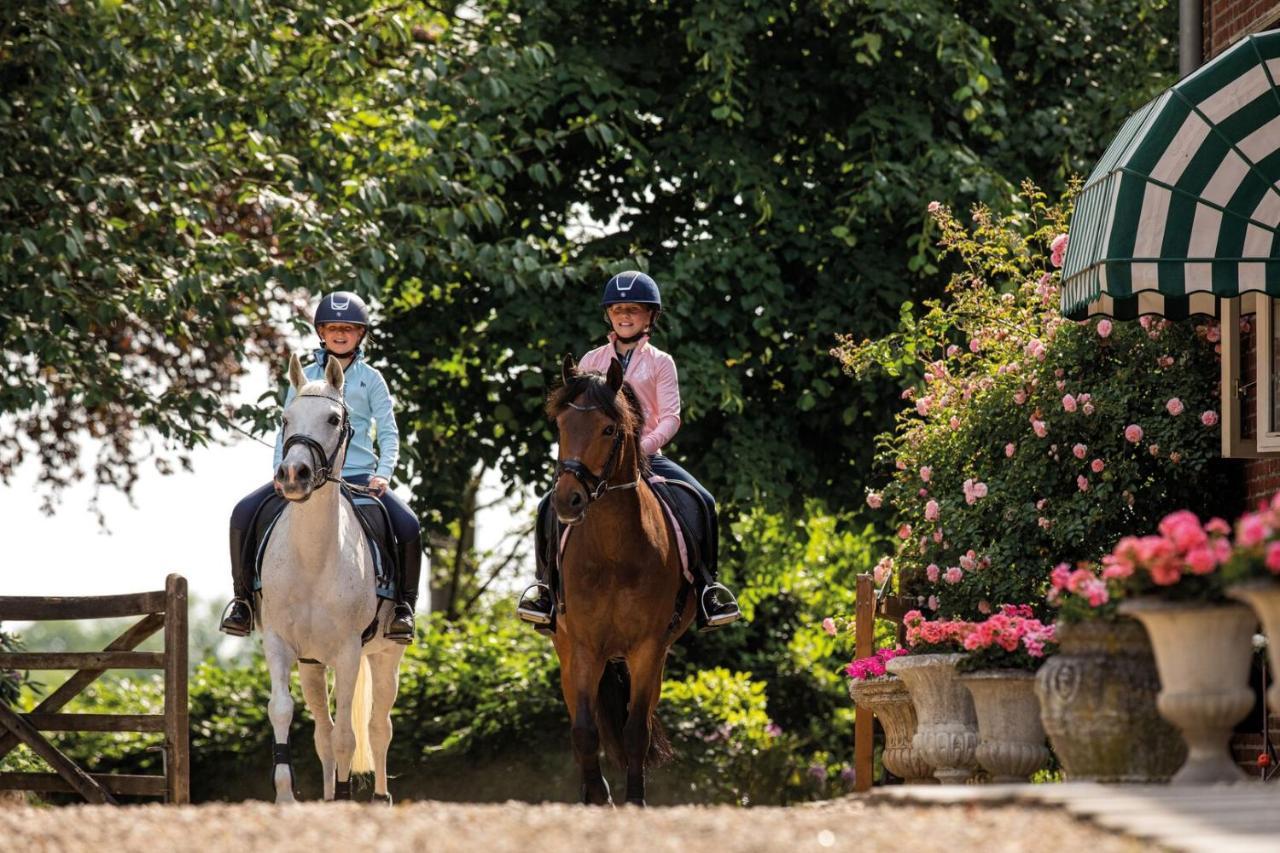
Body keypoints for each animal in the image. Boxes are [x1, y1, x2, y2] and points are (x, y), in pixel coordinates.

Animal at [256, 348, 404, 799]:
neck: (312, 559)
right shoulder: (280, 643)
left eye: (334, 419)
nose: (292, 475)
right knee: (323, 731)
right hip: (312, 665)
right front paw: (286, 796)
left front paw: (343, 796)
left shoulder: (349, 652)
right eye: (286, 418)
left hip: (386, 656)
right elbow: (283, 712)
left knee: (377, 726)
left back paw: (379, 798)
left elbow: (347, 737)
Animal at [547, 350, 696, 804]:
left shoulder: (648, 649)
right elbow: (583, 730)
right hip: (567, 651)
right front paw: (598, 796)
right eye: (561, 425)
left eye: (609, 428)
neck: (613, 551)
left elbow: (635, 734)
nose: (567, 500)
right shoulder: (583, 647)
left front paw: (634, 798)